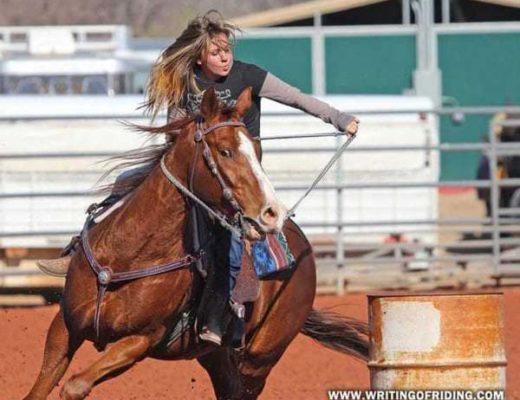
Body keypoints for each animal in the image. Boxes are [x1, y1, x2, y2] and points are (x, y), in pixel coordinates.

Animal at [23, 88, 366, 400]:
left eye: (258, 152)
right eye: (225, 151)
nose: (272, 213)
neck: (128, 256)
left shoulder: (140, 341)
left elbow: (75, 386)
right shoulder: (64, 325)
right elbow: (40, 387)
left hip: (260, 358)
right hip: (215, 355)